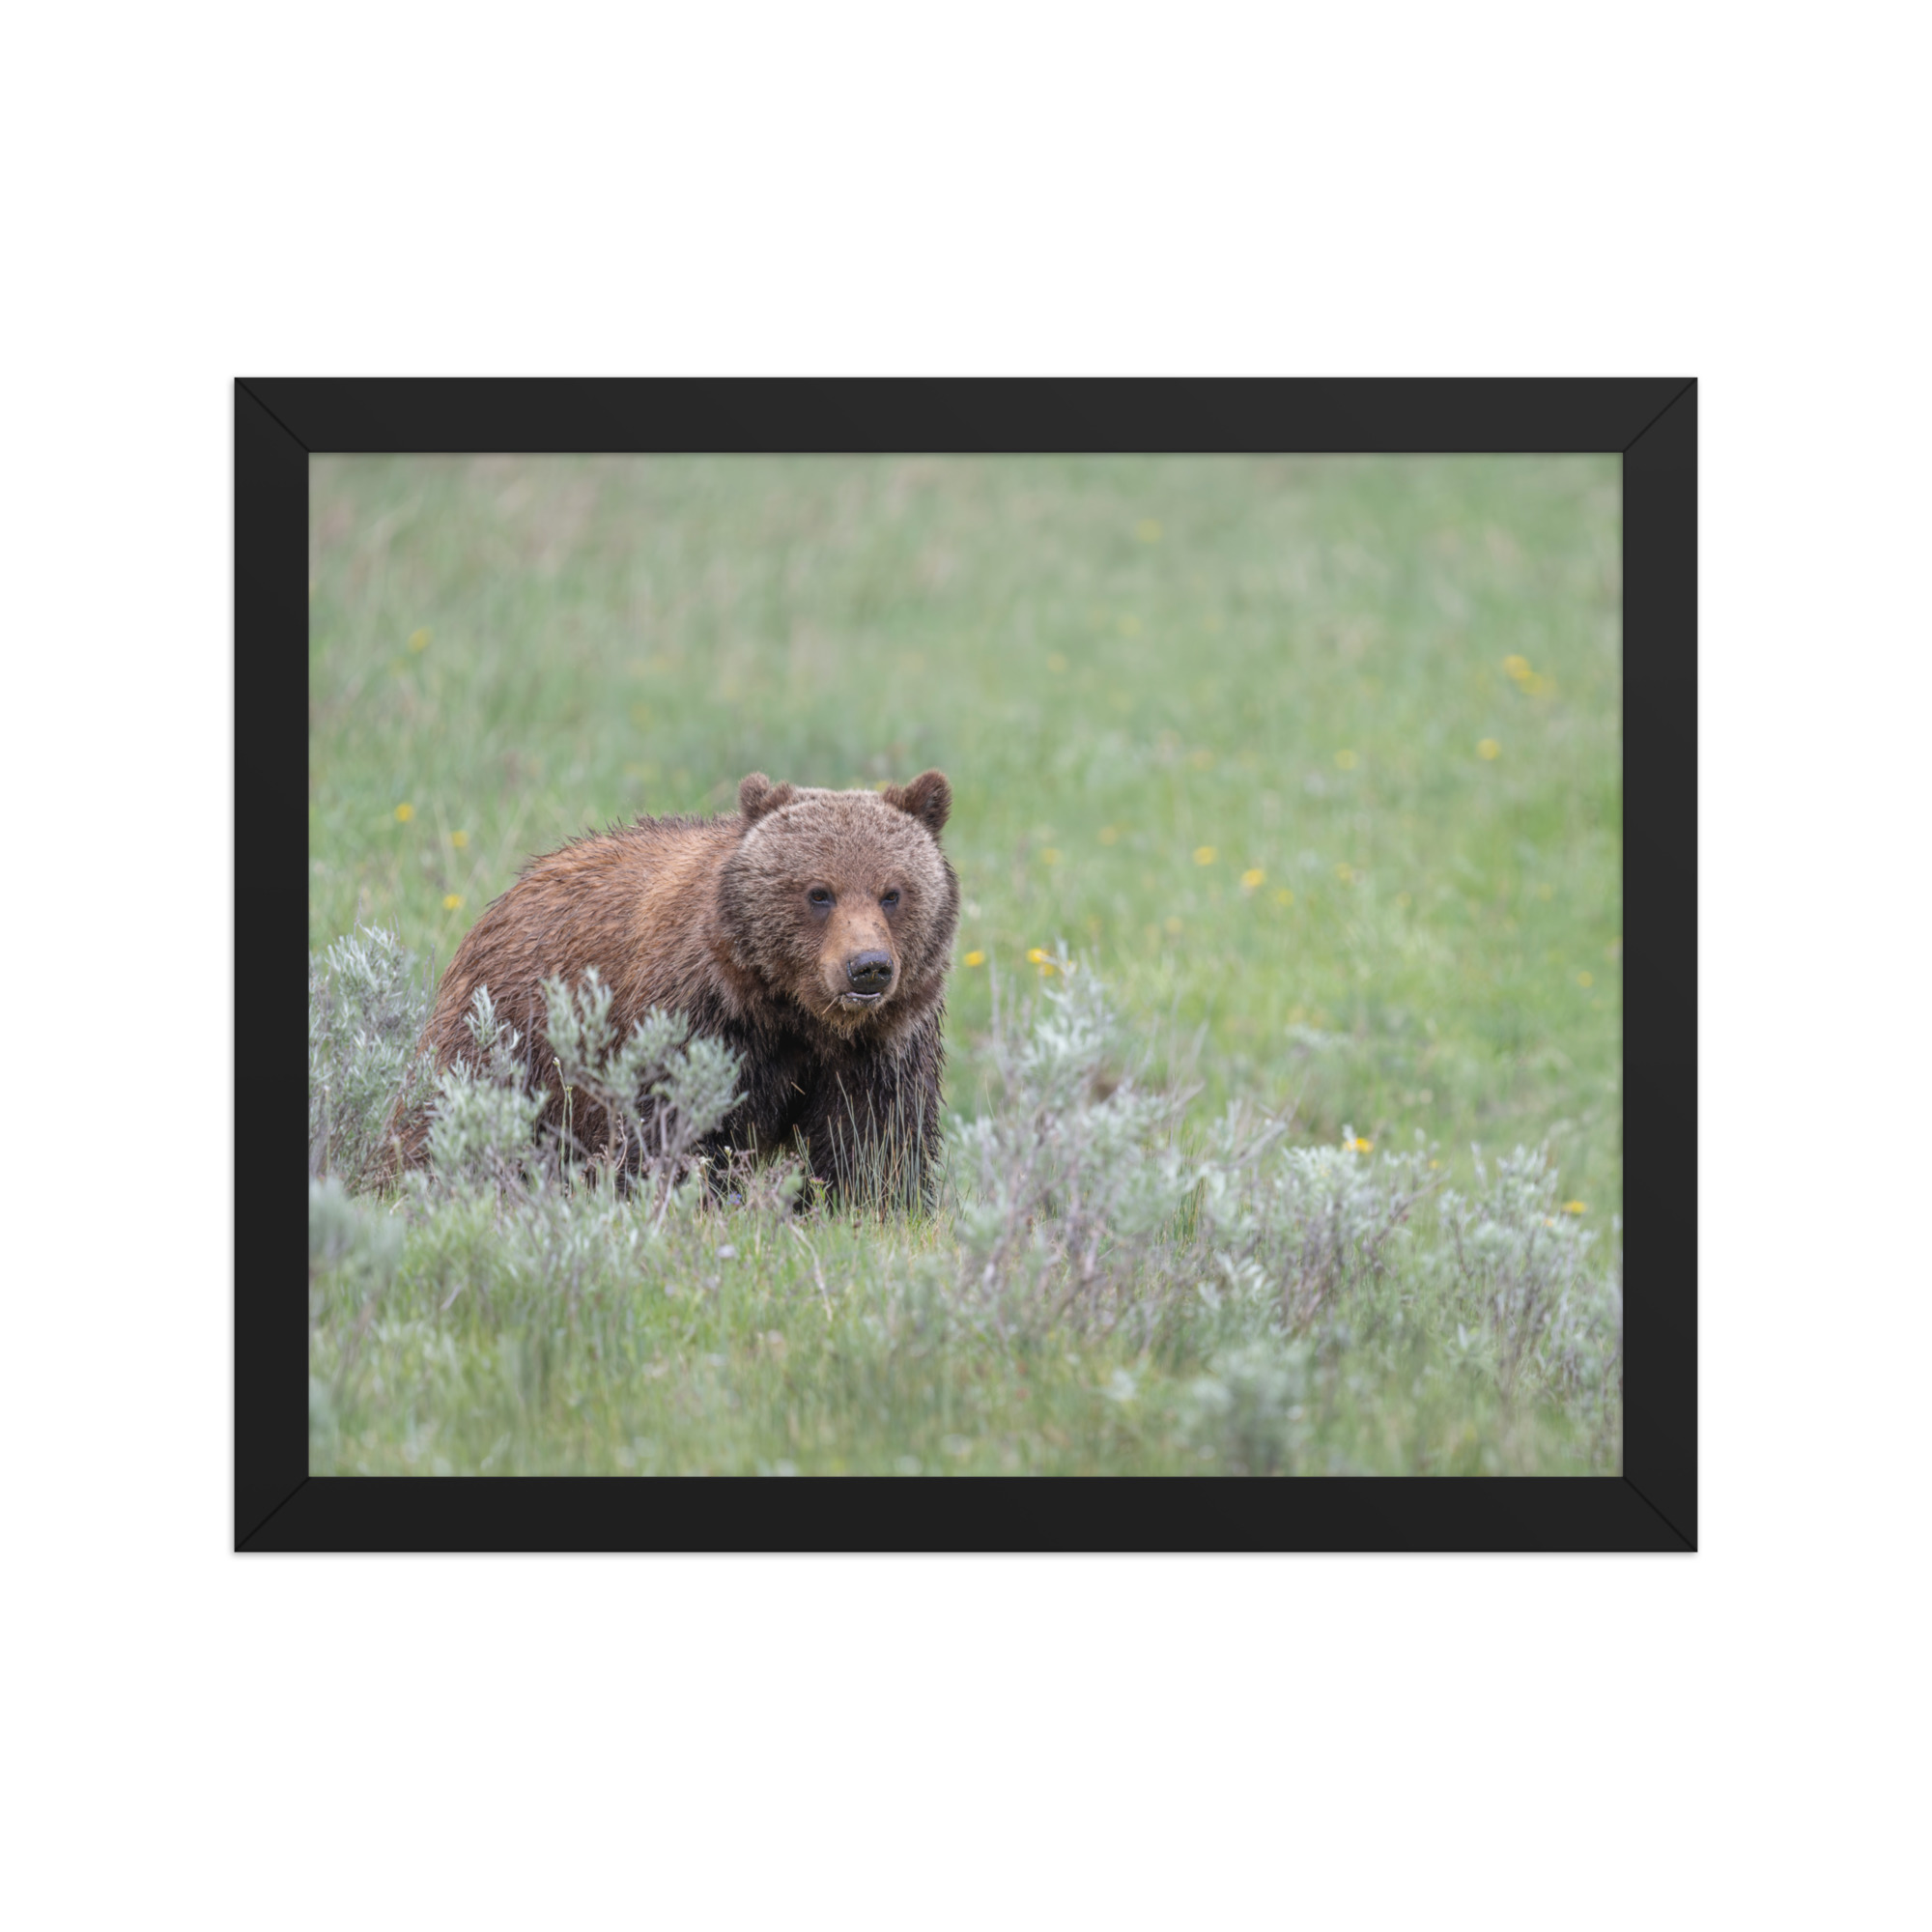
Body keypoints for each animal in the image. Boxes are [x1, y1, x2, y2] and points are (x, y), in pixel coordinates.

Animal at [389, 769, 960, 1205]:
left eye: (892, 893)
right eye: (819, 892)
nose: (868, 967)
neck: (795, 1013)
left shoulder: (881, 1046)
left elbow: (873, 1143)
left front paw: (867, 1206)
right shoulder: (699, 1019)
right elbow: (672, 1127)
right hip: (508, 1029)